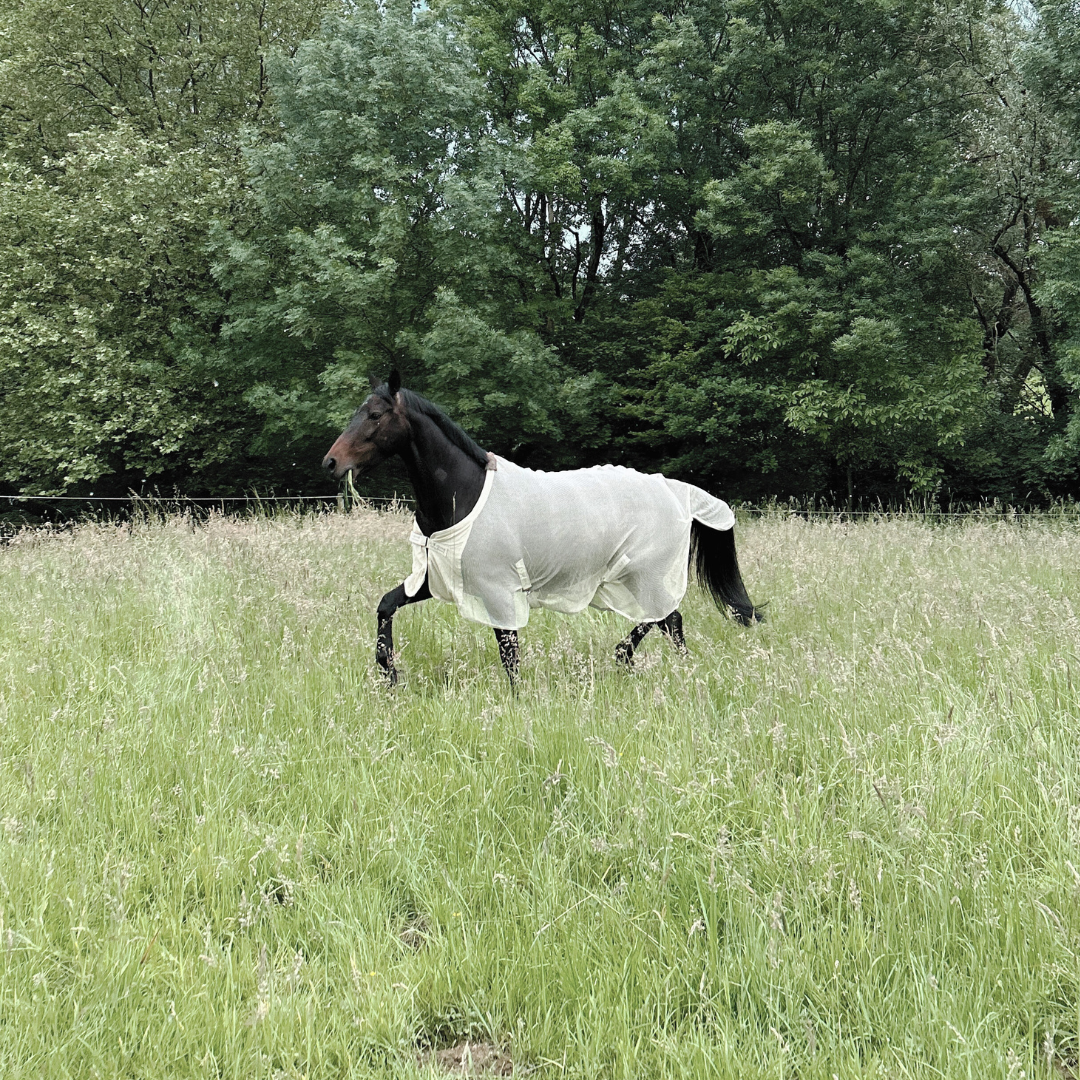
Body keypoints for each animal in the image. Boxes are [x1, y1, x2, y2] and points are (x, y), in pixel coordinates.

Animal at [324, 371, 764, 682]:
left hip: (646, 574)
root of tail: (674, 489)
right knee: (664, 619)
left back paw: (656, 664)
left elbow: (509, 651)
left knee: (668, 620)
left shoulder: (498, 589)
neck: (463, 492)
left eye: (375, 415)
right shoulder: (437, 578)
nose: (331, 463)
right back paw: (628, 658)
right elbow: (386, 605)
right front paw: (389, 672)